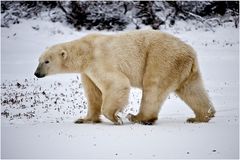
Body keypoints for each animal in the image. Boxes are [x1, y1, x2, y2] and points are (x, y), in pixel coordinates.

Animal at [34, 30, 216, 125]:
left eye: (46, 61)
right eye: (39, 60)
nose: (36, 73)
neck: (85, 51)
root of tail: (190, 53)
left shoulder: (99, 60)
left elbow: (117, 83)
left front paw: (116, 118)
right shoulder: (87, 72)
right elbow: (93, 94)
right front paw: (84, 119)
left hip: (161, 58)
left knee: (153, 86)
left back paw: (138, 117)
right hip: (185, 69)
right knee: (192, 90)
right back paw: (200, 116)